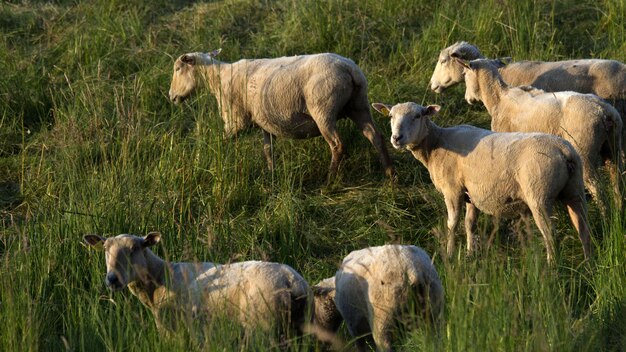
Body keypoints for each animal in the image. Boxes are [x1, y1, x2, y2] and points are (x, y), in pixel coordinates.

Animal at [81, 232, 310, 336]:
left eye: (134, 249)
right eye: (105, 250)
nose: (112, 279)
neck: (161, 277)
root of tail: (292, 280)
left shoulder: (169, 323)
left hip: (263, 324)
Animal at [168, 49, 392, 179]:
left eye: (178, 68)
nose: (171, 96)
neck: (218, 78)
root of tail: (349, 68)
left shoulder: (235, 121)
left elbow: (221, 142)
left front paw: (201, 162)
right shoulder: (265, 123)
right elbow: (268, 150)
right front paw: (271, 174)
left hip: (323, 109)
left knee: (337, 145)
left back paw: (330, 180)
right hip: (359, 104)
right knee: (376, 137)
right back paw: (391, 175)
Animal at [370, 100, 588, 262]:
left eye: (417, 116)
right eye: (391, 116)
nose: (396, 138)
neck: (435, 144)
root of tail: (564, 150)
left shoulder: (453, 191)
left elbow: (452, 224)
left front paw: (450, 254)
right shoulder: (471, 194)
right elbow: (470, 224)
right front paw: (469, 253)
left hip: (539, 195)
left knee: (550, 234)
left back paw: (552, 268)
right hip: (575, 190)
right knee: (583, 228)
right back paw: (588, 262)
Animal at [456, 58, 620, 213]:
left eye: (464, 74)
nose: (467, 99)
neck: (498, 97)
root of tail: (604, 111)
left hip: (584, 150)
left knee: (596, 187)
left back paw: (605, 216)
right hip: (614, 146)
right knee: (617, 176)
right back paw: (619, 207)